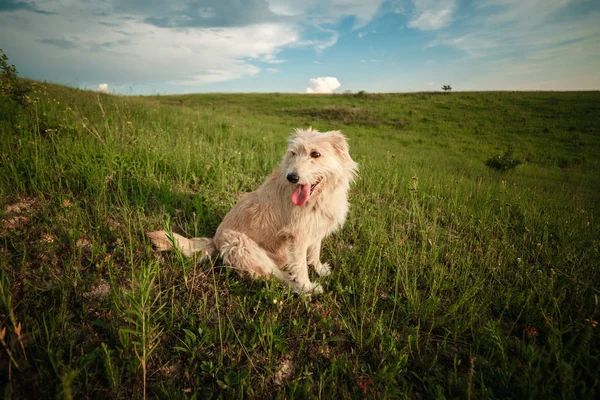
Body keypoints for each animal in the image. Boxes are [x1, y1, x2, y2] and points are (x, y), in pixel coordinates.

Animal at [148, 128, 358, 294]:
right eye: (293, 153)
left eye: (315, 154)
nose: (292, 177)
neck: (319, 197)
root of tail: (215, 240)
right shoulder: (297, 237)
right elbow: (300, 266)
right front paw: (306, 284)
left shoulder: (315, 229)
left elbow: (314, 253)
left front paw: (320, 269)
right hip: (244, 248)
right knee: (280, 276)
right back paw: (305, 291)